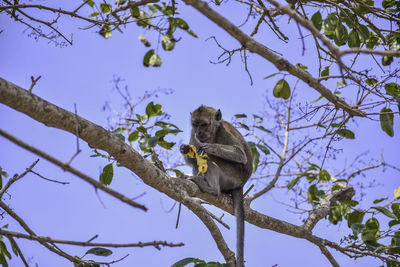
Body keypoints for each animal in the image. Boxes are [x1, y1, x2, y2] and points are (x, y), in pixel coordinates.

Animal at [180, 105, 252, 266]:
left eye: (204, 124)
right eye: (195, 125)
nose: (199, 133)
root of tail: (241, 183)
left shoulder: (224, 132)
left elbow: (240, 155)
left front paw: (209, 147)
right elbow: (191, 159)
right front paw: (184, 149)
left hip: (233, 176)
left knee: (209, 158)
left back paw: (212, 189)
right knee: (198, 163)